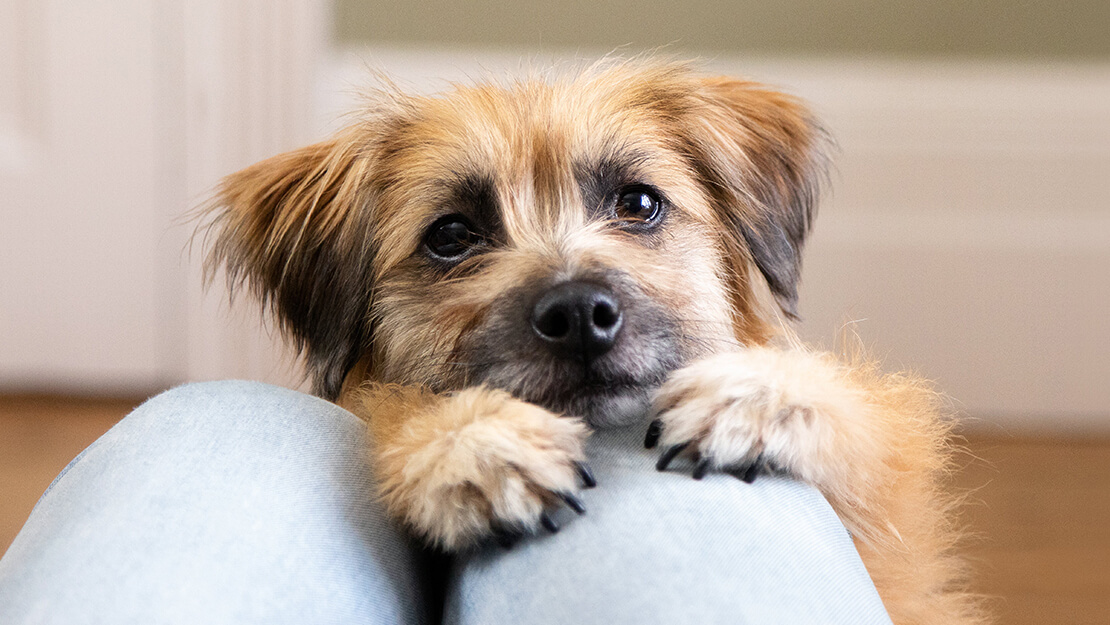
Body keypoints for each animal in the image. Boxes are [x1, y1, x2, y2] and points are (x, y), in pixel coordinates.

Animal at [204, 59, 985, 625]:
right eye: (451, 235)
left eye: (638, 203)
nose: (580, 312)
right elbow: (390, 404)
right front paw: (471, 440)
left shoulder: (897, 517)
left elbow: (866, 419)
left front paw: (757, 394)